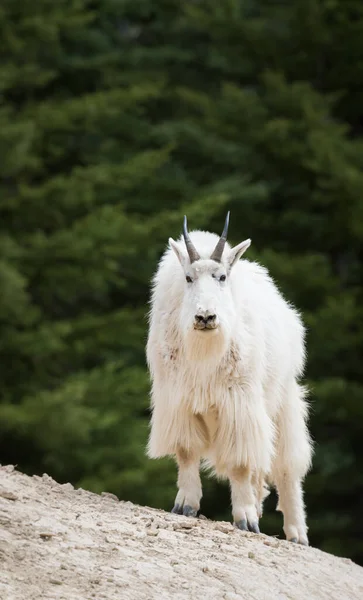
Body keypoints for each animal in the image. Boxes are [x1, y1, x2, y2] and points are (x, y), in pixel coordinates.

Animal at [146, 213, 312, 548]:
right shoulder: (178, 400)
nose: (205, 317)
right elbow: (187, 451)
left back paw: (296, 532)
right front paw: (186, 505)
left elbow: (239, 462)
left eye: (221, 277)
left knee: (287, 465)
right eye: (188, 278)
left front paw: (245, 518)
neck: (204, 352)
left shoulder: (240, 403)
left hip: (282, 400)